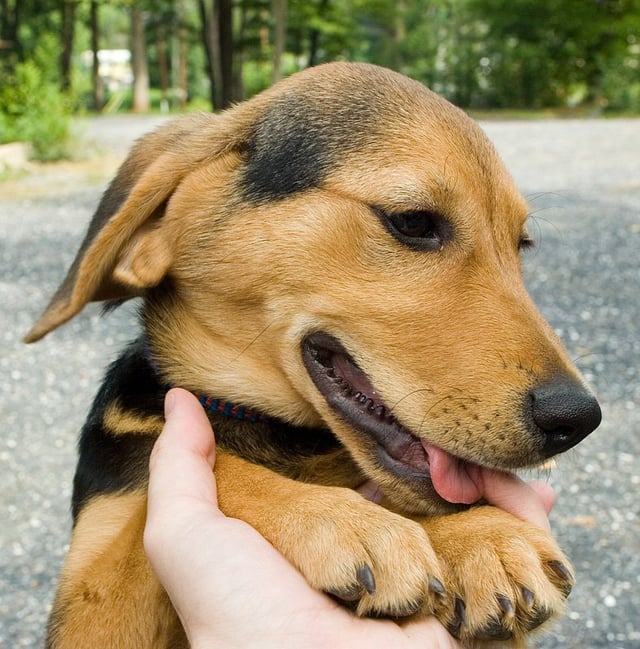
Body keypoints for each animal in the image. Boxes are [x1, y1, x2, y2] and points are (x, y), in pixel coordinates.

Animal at [27, 62, 600, 648]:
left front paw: (479, 535)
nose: (578, 419)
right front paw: (348, 523)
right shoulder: (95, 602)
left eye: (521, 246)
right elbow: (201, 461)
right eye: (413, 222)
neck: (285, 437)